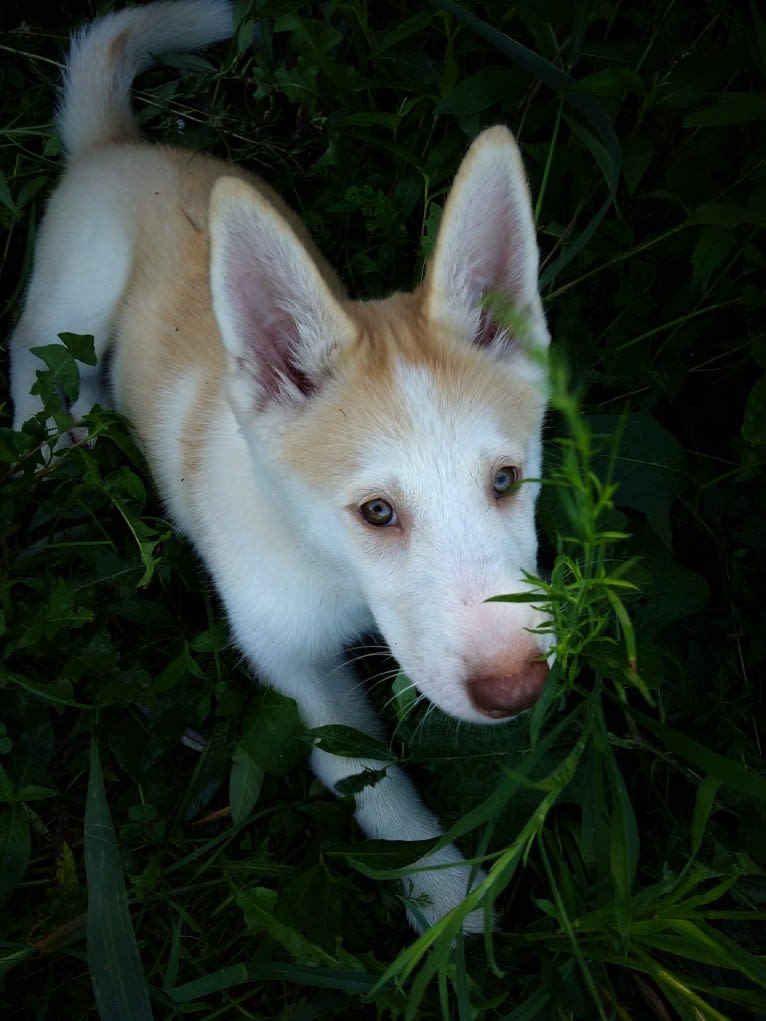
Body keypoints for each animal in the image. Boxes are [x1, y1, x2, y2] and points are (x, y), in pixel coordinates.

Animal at [10, 0, 551, 935]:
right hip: (73, 295)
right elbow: (364, 774)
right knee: (31, 355)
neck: (332, 573)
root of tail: (115, 145)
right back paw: (50, 442)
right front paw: (440, 886)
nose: (518, 689)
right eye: (377, 512)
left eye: (506, 481)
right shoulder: (288, 658)